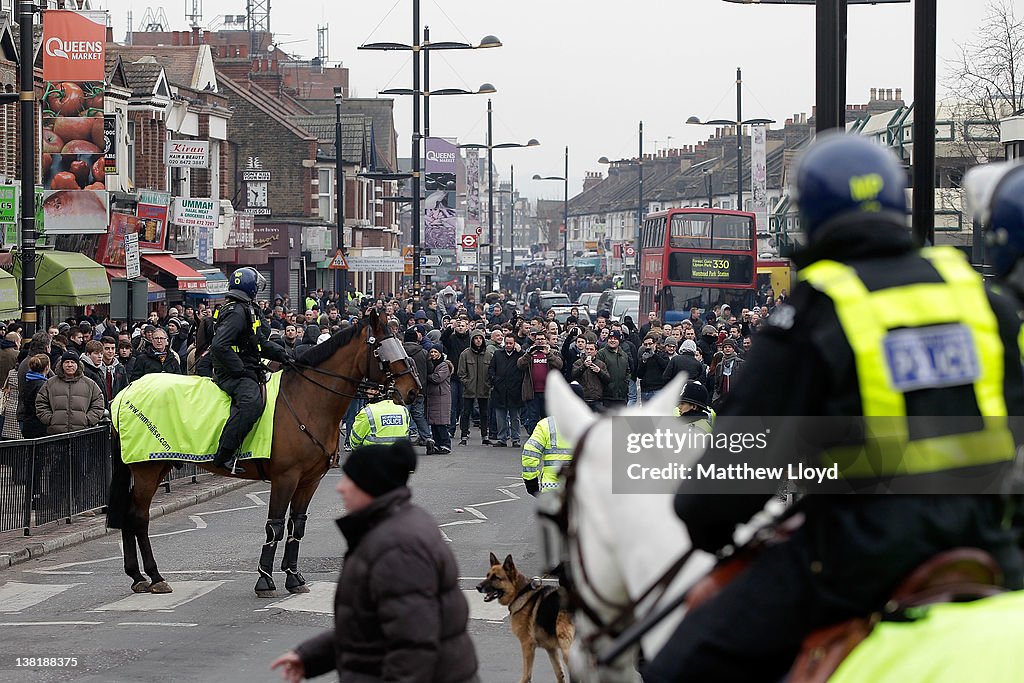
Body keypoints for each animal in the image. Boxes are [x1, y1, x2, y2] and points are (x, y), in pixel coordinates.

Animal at [108, 309, 419, 598]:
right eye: (383, 348)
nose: (413, 390)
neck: (306, 400)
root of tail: (126, 392)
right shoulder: (285, 478)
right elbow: (276, 526)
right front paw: (265, 580)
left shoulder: (309, 481)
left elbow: (297, 526)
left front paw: (294, 577)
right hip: (146, 469)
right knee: (139, 516)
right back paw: (154, 576)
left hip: (157, 464)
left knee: (130, 513)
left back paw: (137, 575)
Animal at [475, 552, 573, 683]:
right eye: (487, 575)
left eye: (496, 578)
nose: (478, 587)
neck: (520, 593)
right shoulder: (551, 649)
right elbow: (559, 674)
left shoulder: (527, 645)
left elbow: (526, 675)